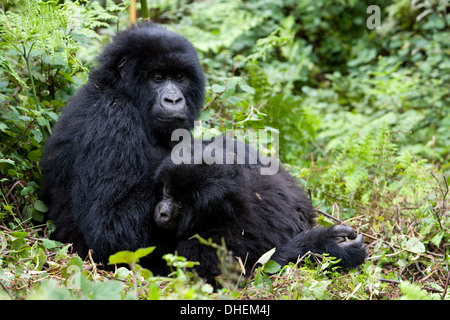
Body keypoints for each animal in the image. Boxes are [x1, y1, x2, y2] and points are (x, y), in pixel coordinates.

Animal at [40, 22, 206, 266]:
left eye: (179, 76)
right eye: (157, 77)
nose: (173, 99)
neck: (120, 90)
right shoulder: (113, 118)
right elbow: (112, 231)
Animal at [153, 146, 368, 284]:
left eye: (180, 204)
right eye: (168, 191)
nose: (162, 212)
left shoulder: (200, 245)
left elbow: (238, 280)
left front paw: (324, 246)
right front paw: (326, 245)